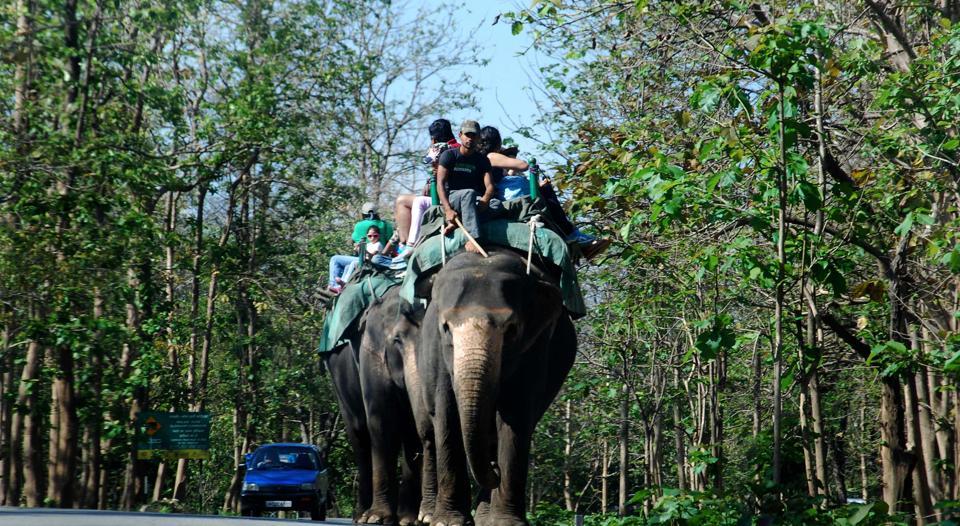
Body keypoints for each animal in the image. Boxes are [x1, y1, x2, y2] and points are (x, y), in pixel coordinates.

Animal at [416, 247, 577, 526]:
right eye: (446, 328)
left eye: (511, 329)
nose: (495, 470)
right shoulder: (437, 350)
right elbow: (446, 413)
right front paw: (447, 522)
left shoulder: (536, 345)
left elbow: (515, 414)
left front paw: (505, 522)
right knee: (430, 433)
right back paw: (428, 515)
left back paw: (484, 515)